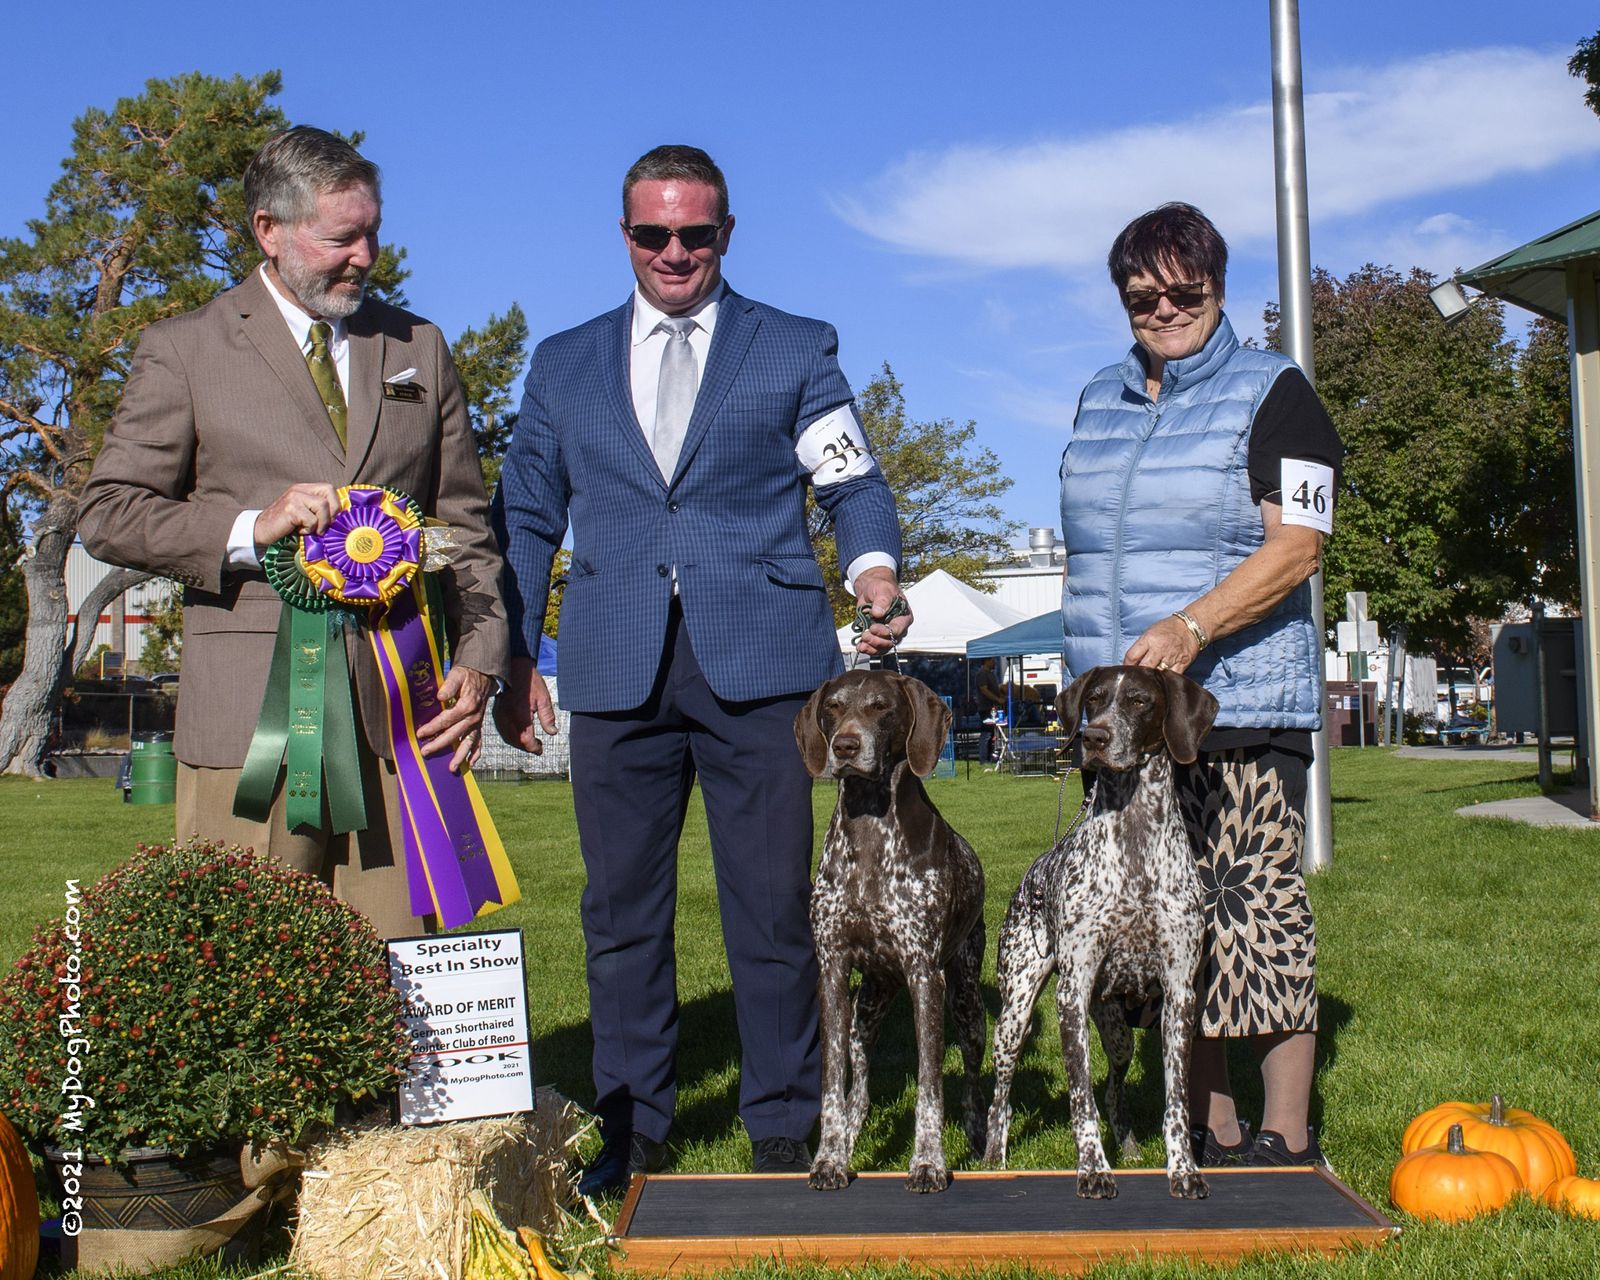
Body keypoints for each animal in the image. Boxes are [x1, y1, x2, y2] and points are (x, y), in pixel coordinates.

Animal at [794, 670, 986, 1193]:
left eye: (881, 707)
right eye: (833, 707)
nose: (844, 746)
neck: (870, 828)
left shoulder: (925, 975)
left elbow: (930, 1085)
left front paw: (928, 1162)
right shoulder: (833, 972)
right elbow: (832, 1083)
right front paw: (830, 1158)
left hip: (967, 1004)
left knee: (971, 1080)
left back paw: (978, 1139)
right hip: (866, 1008)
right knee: (858, 1084)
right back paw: (850, 1134)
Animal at [983, 664, 1218, 1200]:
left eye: (1139, 700)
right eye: (1093, 699)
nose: (1094, 737)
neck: (1134, 841)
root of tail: (1034, 870)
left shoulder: (1180, 993)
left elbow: (1176, 1099)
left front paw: (1183, 1169)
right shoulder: (1070, 993)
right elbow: (1079, 1099)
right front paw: (1092, 1169)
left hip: (1116, 1029)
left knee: (1114, 1087)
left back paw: (1129, 1147)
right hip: (1015, 1016)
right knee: (1000, 1099)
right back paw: (992, 1158)